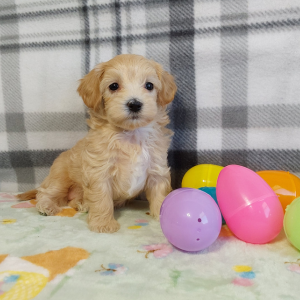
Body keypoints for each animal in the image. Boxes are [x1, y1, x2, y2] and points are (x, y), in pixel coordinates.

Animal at [17, 53, 177, 232]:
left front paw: (165, 217)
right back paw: (47, 206)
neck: (131, 136)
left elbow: (160, 195)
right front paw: (103, 224)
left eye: (149, 85)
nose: (134, 104)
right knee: (45, 193)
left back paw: (82, 203)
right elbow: (102, 199)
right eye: (113, 86)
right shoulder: (99, 172)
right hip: (60, 177)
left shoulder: (157, 170)